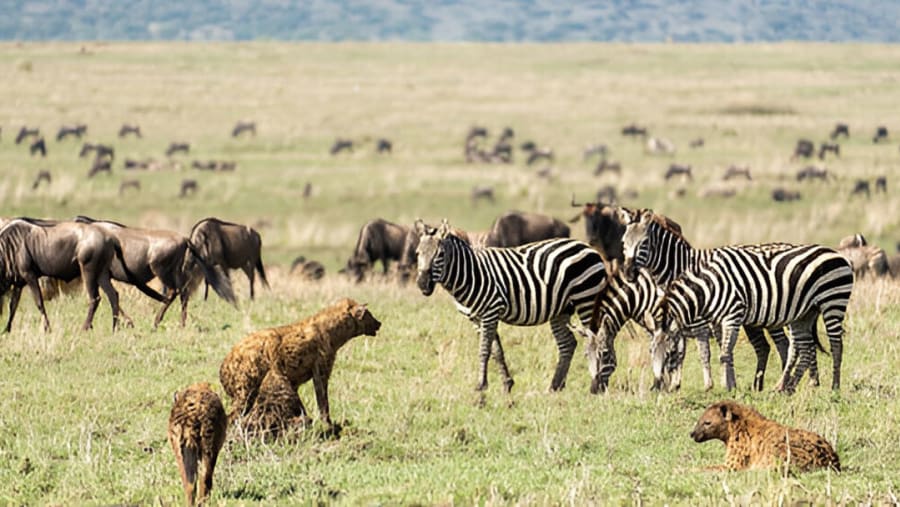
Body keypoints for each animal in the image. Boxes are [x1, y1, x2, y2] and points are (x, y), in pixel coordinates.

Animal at [414, 219, 606, 393]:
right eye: (417, 253)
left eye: (440, 254)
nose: (422, 285)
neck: (469, 274)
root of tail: (587, 247)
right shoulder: (476, 318)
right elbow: (496, 351)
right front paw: (506, 384)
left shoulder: (490, 311)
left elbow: (484, 350)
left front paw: (481, 386)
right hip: (562, 309)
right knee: (567, 344)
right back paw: (555, 387)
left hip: (587, 299)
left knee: (597, 340)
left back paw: (598, 386)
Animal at [572, 267, 791, 394]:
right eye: (585, 356)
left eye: (604, 354)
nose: (594, 390)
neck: (647, 295)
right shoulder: (668, 330)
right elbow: (675, 356)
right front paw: (671, 384)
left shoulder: (687, 328)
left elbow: (686, 355)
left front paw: (671, 385)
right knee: (765, 347)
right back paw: (761, 385)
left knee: (781, 345)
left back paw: (780, 384)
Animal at [619, 209, 850, 392]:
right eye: (624, 243)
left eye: (643, 243)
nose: (628, 274)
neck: (683, 266)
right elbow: (694, 350)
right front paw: (679, 383)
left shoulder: (702, 320)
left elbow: (706, 352)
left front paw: (713, 385)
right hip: (801, 312)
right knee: (800, 345)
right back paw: (800, 383)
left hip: (828, 304)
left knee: (818, 345)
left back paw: (826, 386)